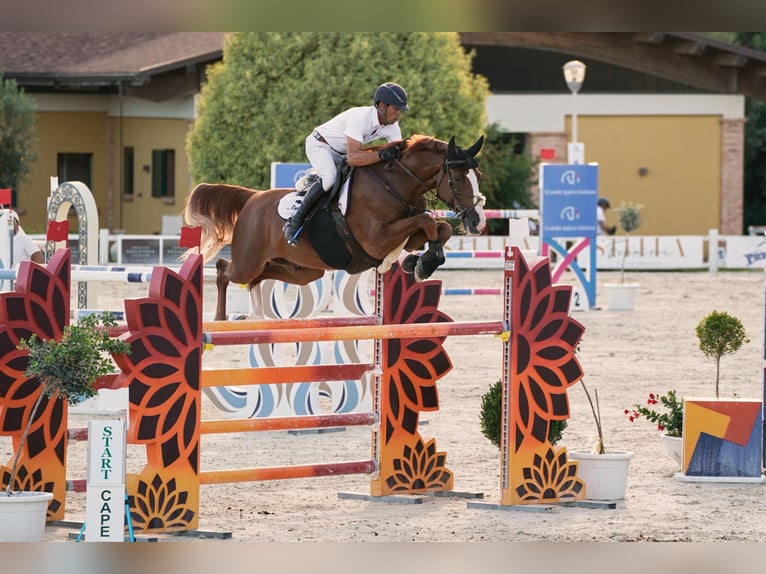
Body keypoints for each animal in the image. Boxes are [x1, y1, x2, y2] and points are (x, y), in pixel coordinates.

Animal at [183, 133, 486, 320]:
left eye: (478, 175)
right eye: (457, 178)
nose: (478, 222)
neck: (395, 185)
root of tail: (252, 198)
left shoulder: (403, 236)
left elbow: (439, 228)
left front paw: (420, 262)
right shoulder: (376, 239)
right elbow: (427, 221)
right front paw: (423, 263)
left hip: (302, 270)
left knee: (259, 276)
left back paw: (254, 315)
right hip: (248, 260)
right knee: (224, 270)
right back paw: (220, 319)